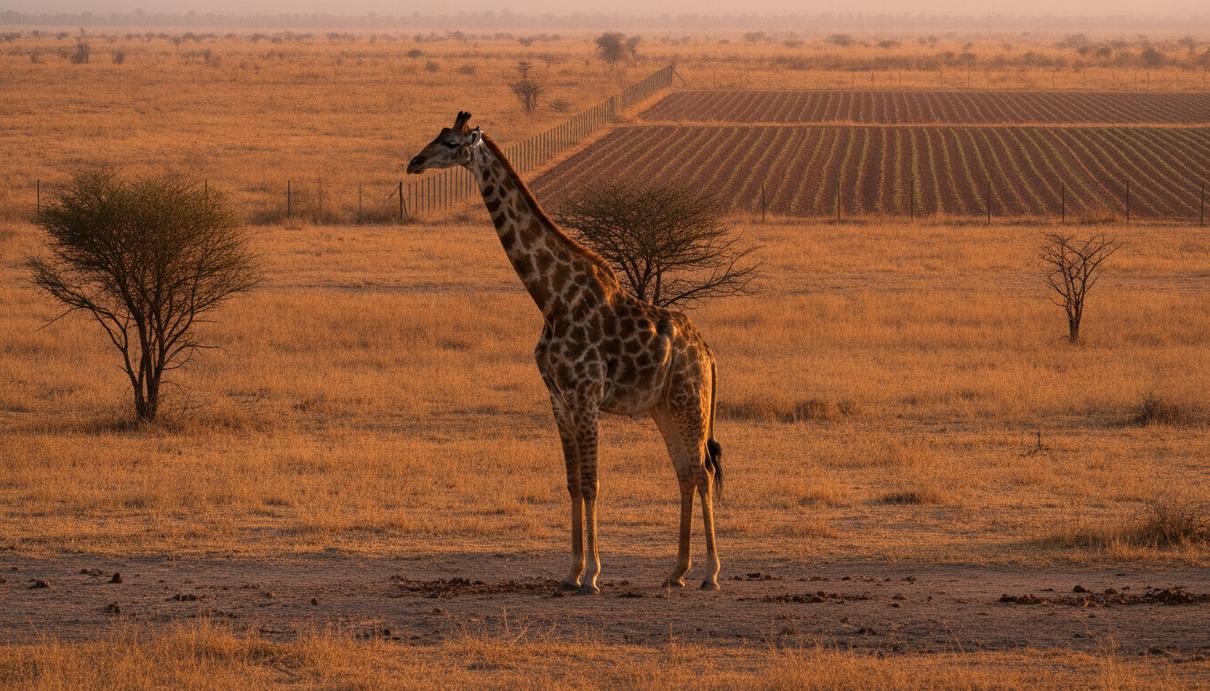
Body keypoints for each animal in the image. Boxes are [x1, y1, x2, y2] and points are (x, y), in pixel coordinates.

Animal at [407, 112, 723, 594]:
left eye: (451, 143)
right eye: (437, 137)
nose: (414, 162)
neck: (551, 297)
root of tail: (708, 352)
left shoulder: (585, 394)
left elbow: (592, 483)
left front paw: (592, 575)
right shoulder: (556, 397)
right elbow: (573, 483)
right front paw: (571, 571)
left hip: (691, 399)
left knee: (702, 471)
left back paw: (710, 573)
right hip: (663, 406)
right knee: (686, 471)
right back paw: (677, 571)